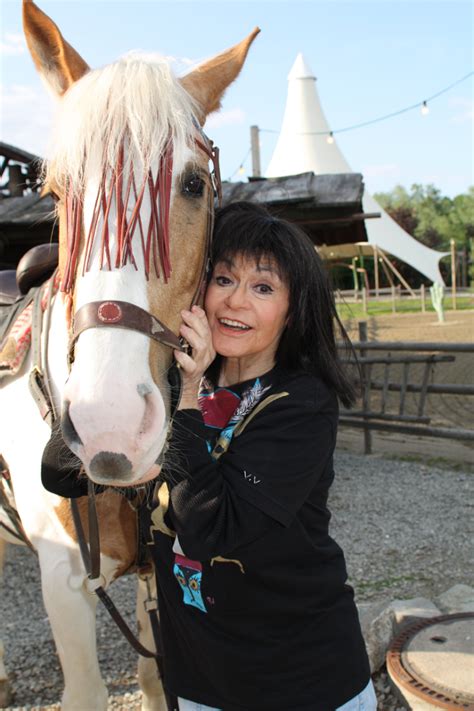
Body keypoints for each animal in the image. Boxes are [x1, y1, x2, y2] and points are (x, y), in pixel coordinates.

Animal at [0, 2, 258, 708]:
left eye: (193, 184)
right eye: (57, 194)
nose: (108, 429)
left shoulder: (155, 569)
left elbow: (153, 676)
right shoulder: (64, 585)